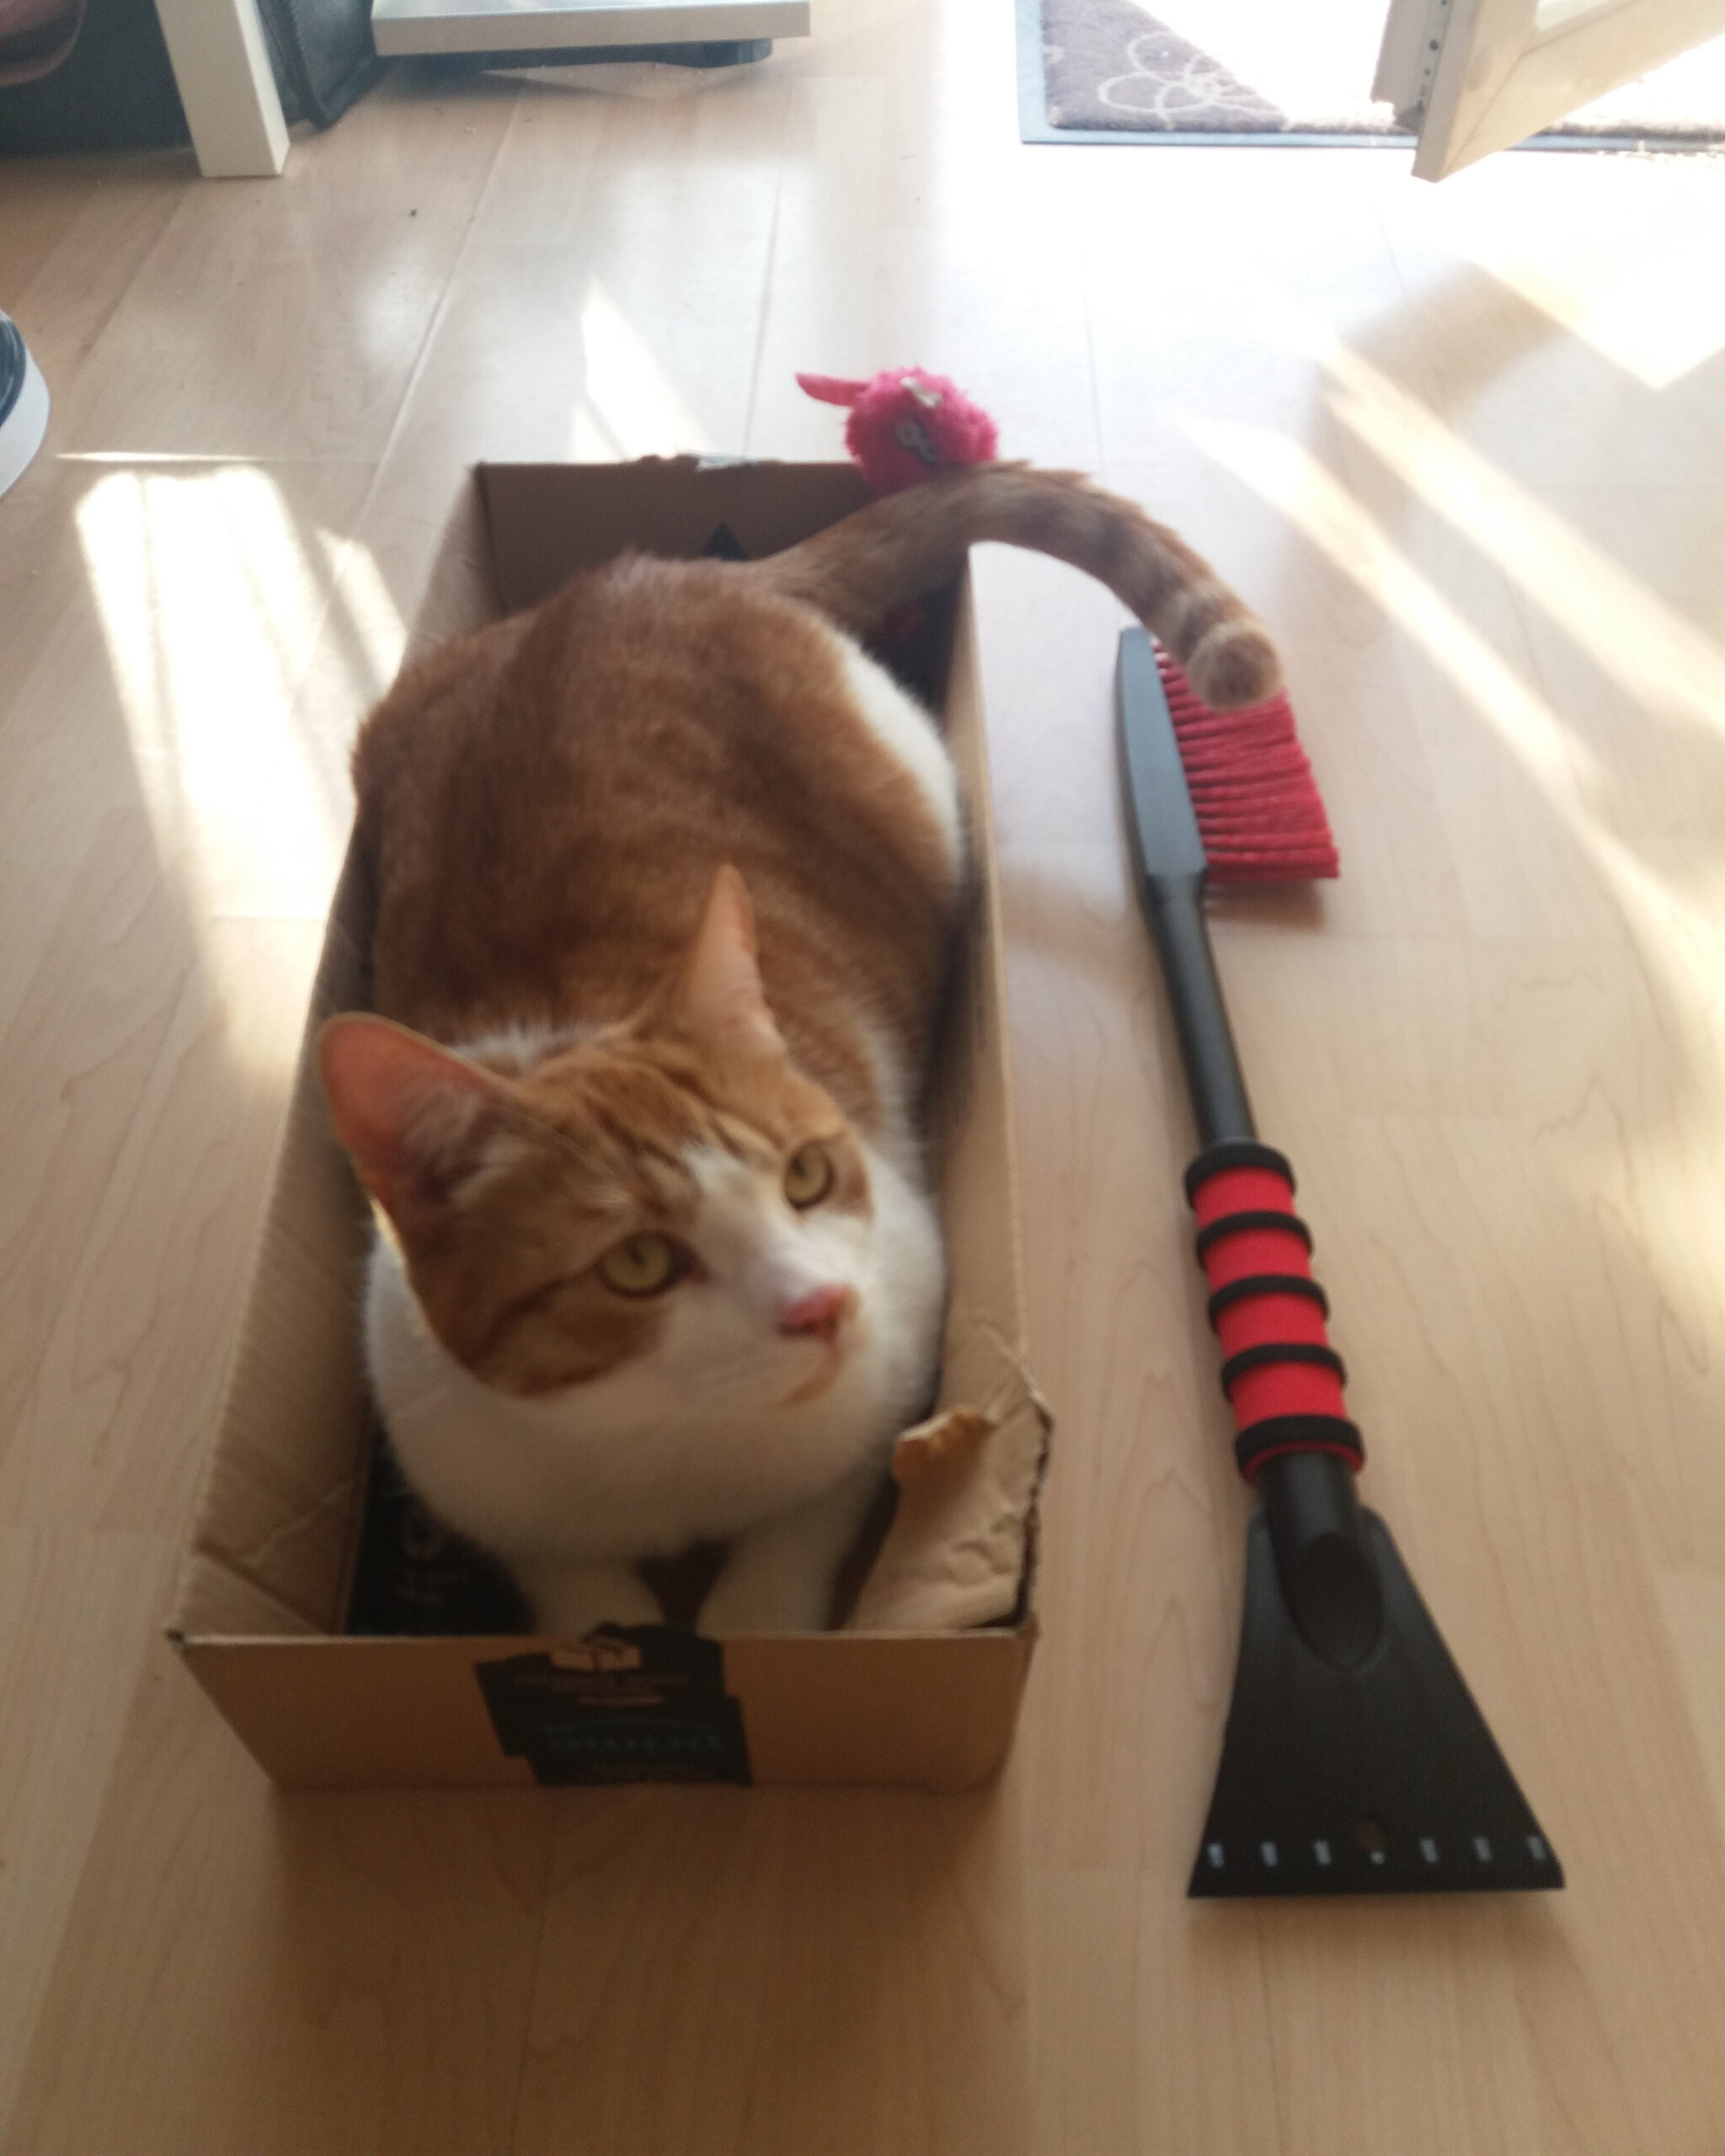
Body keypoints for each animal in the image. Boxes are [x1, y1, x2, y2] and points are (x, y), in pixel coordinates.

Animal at [317, 463, 1281, 1638]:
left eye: (807, 1177)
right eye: (637, 1262)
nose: (823, 1306)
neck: (662, 1446)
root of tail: (651, 576)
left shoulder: (898, 1341)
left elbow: (802, 1532)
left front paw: (752, 1611)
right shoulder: (459, 1462)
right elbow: (577, 1591)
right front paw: (617, 1624)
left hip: (922, 775)